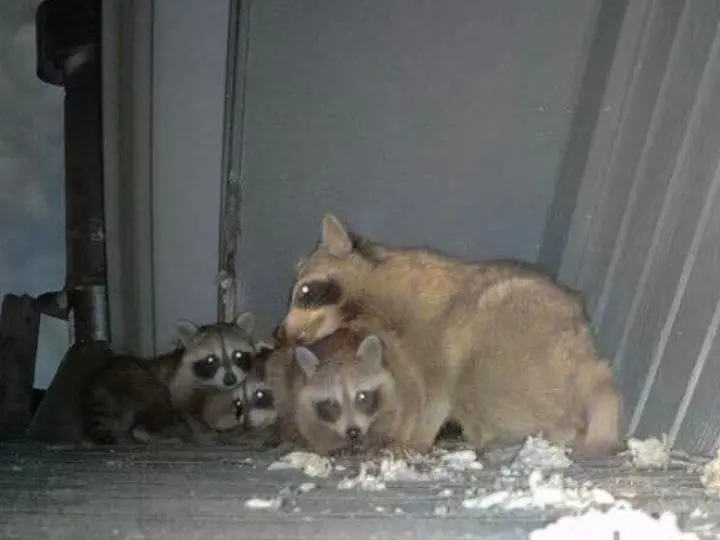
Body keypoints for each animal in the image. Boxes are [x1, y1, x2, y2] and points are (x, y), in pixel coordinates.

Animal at [279, 214, 622, 458]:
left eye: (305, 292)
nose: (281, 332)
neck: (366, 310)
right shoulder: (400, 351)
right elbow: (411, 395)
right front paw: (401, 433)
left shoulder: (431, 329)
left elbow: (436, 394)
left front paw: (416, 440)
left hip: (520, 342)